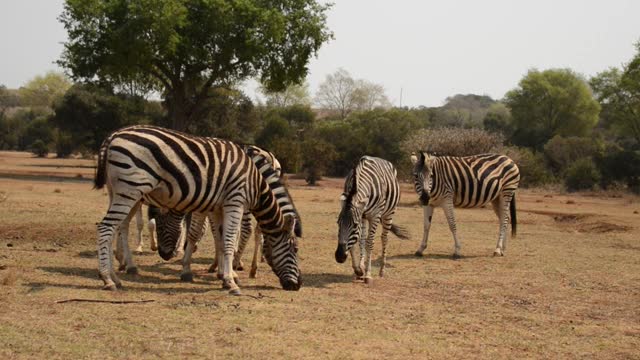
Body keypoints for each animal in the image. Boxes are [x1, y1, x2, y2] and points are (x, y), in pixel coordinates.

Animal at [93, 125, 302, 294]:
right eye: (295, 249)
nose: (298, 284)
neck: (255, 181)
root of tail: (114, 135)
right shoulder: (233, 201)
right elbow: (222, 239)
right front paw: (229, 280)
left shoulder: (217, 207)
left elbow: (220, 238)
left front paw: (224, 273)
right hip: (131, 189)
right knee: (107, 227)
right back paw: (108, 278)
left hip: (120, 191)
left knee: (118, 227)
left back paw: (117, 274)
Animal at [336, 155, 404, 284]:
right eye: (338, 224)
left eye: (354, 225)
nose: (339, 256)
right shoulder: (361, 215)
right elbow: (356, 242)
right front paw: (358, 270)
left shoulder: (374, 216)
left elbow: (370, 243)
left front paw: (368, 274)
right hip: (364, 216)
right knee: (362, 239)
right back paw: (362, 265)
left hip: (388, 214)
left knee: (384, 238)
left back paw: (382, 270)